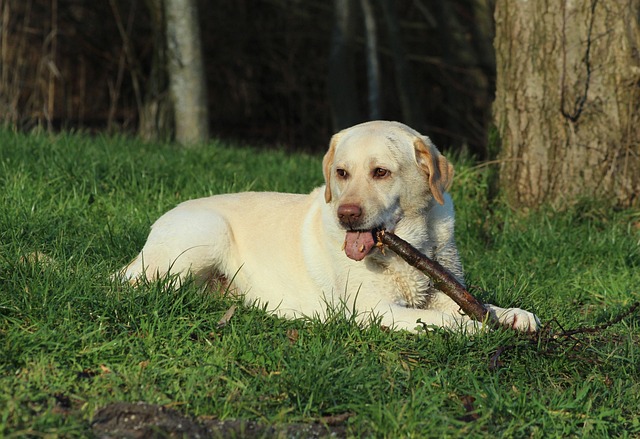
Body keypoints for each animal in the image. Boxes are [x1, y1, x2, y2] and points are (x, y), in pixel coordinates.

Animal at [120, 120, 540, 334]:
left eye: (381, 172)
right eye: (341, 173)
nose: (346, 214)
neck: (409, 246)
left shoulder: (439, 289)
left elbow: (475, 304)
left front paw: (512, 314)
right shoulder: (373, 309)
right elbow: (442, 318)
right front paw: (477, 328)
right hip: (206, 234)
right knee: (145, 286)